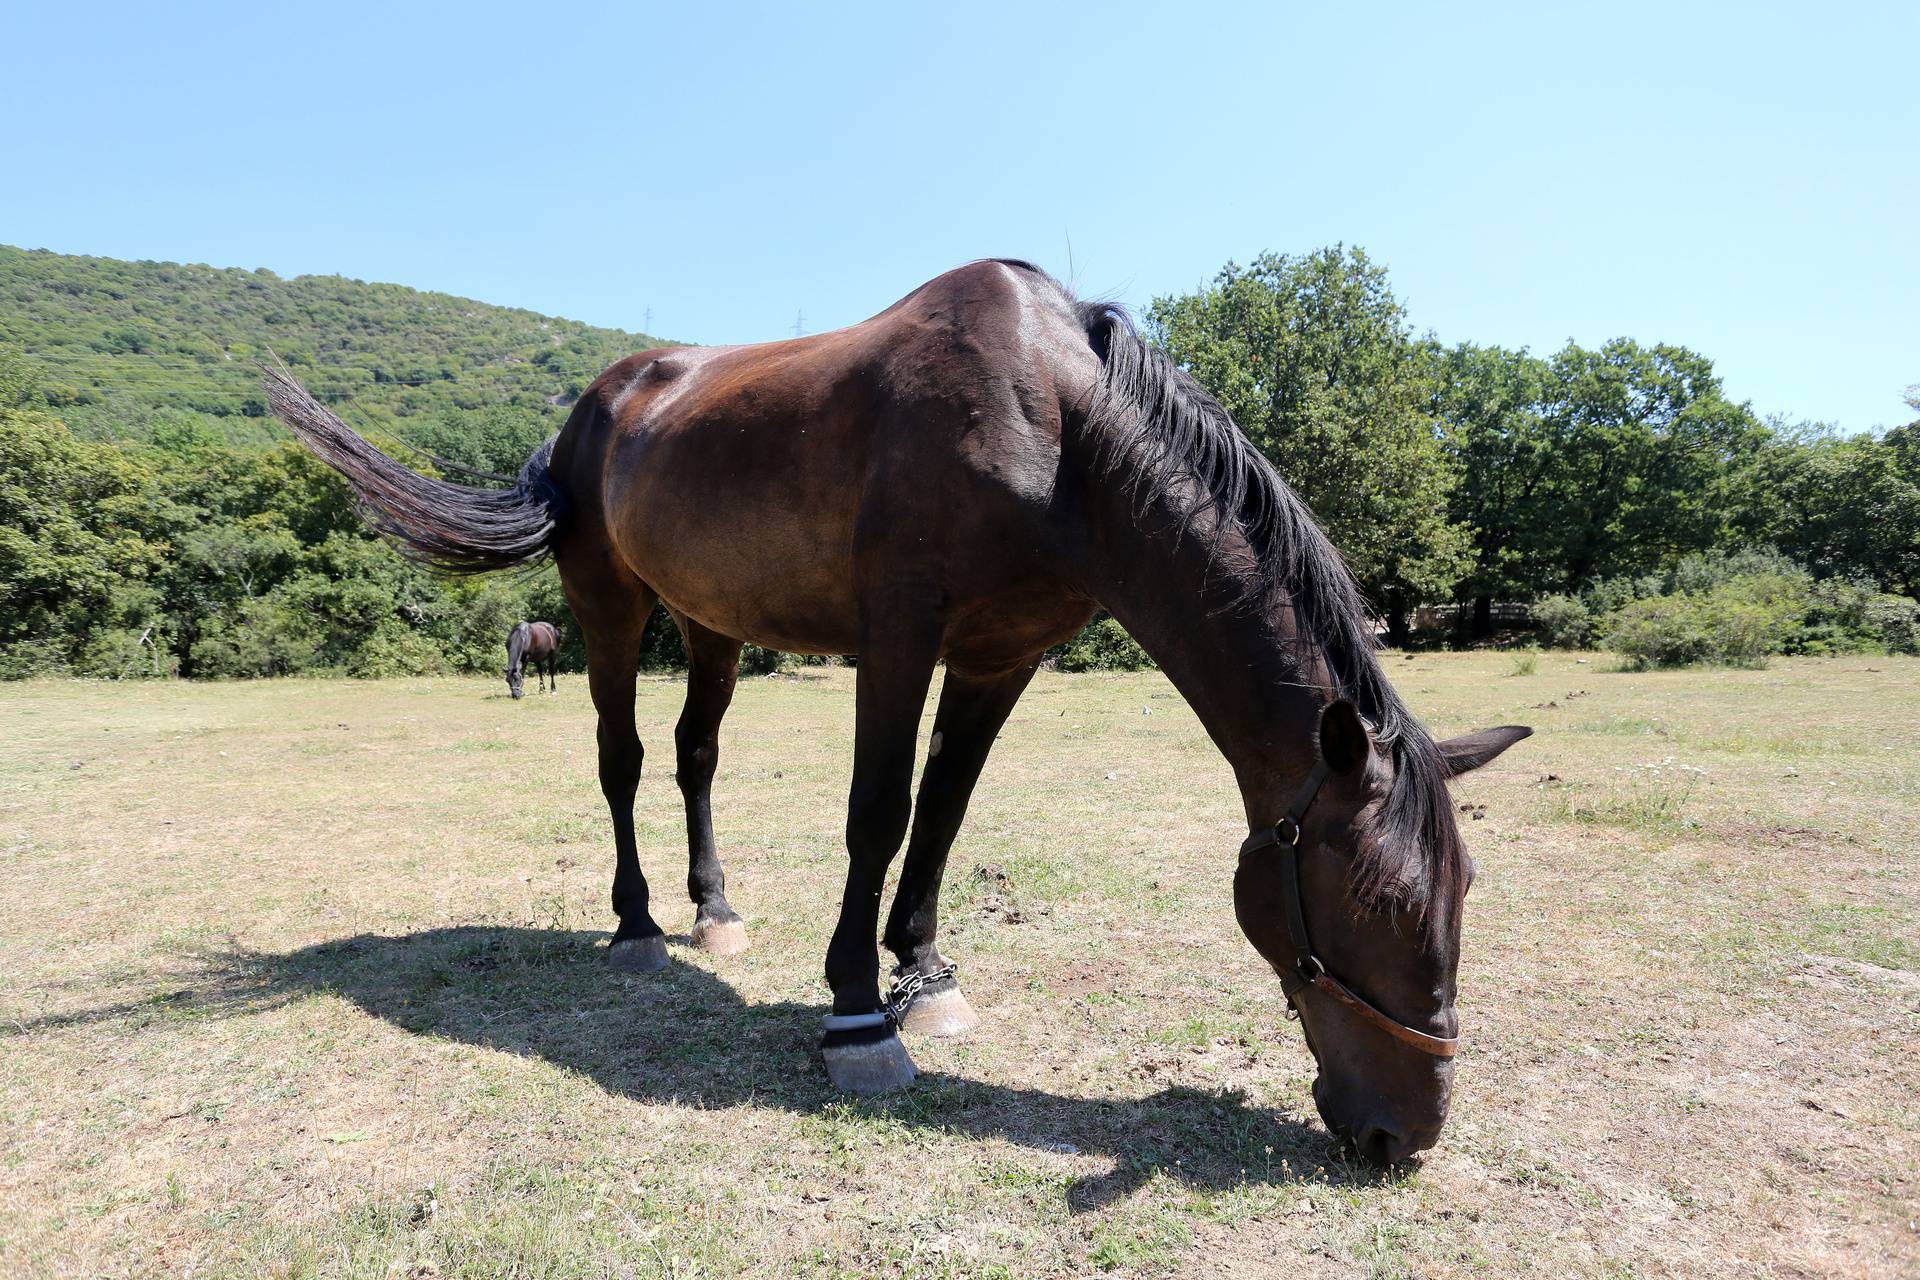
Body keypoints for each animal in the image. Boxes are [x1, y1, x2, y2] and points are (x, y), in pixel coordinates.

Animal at [270, 262, 1528, 1174]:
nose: (1407, 1132)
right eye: (1375, 900)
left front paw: (924, 973)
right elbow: (877, 812)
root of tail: (595, 406)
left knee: (694, 755)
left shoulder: (1001, 658)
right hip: (609, 604)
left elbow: (943, 814)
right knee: (621, 759)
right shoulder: (899, 637)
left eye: (1463, 894)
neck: (1061, 436)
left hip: (712, 620)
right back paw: (637, 925)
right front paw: (858, 1013)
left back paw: (714, 909)